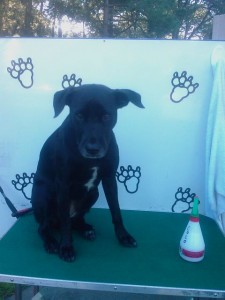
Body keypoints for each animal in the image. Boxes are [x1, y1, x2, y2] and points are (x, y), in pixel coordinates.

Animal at [31, 83, 144, 262]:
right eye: (79, 115)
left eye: (106, 116)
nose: (93, 149)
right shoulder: (63, 184)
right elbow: (65, 222)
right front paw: (66, 247)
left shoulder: (110, 178)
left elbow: (116, 210)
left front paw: (123, 236)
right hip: (44, 194)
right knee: (45, 226)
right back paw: (50, 242)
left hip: (93, 193)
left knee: (76, 219)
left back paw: (85, 228)